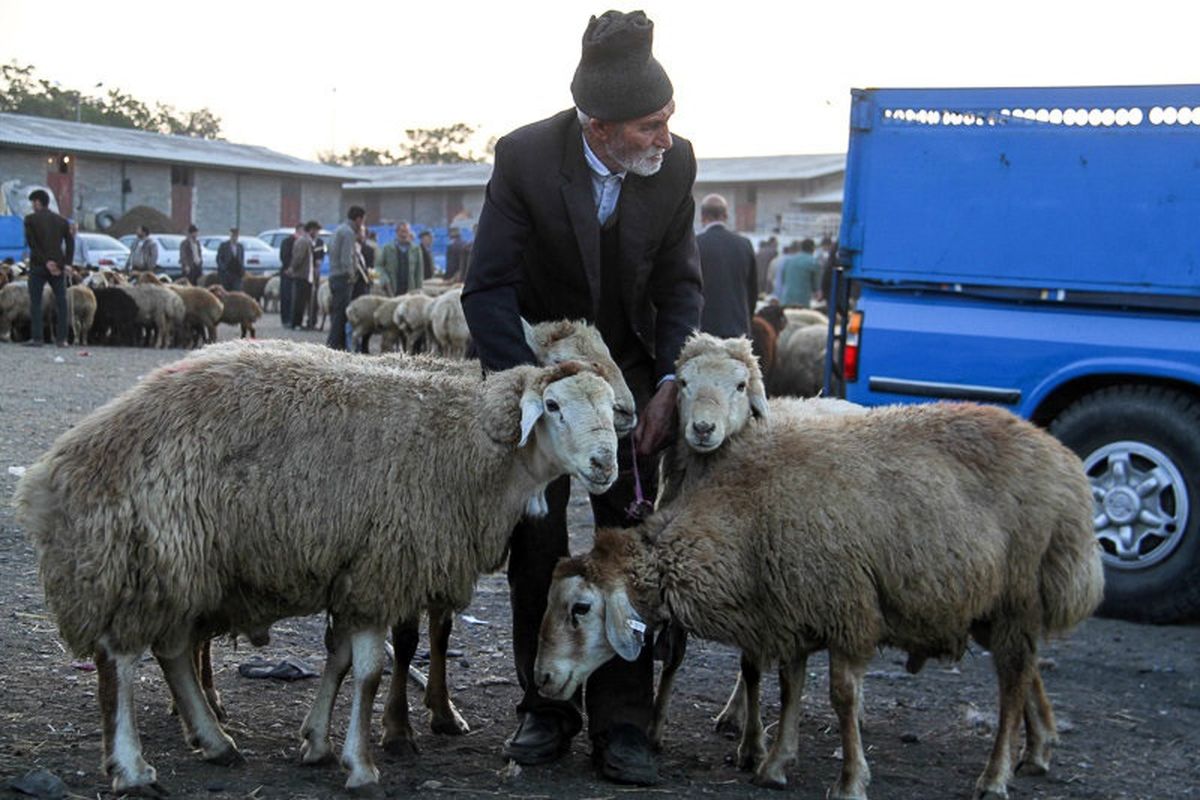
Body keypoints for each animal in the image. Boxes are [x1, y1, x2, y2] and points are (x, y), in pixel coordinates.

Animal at [14, 340, 619, 796]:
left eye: (612, 409)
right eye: (554, 407)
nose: (605, 464)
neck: (472, 441)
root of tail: (58, 469)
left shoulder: (356, 571)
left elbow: (343, 661)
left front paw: (318, 742)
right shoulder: (382, 566)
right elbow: (371, 671)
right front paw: (362, 765)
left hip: (182, 570)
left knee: (173, 651)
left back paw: (215, 743)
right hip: (143, 559)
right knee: (120, 659)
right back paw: (133, 767)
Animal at [540, 398, 1099, 796]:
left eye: (579, 609)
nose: (542, 678)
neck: (747, 512)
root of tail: (1065, 462)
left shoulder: (845, 607)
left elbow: (841, 696)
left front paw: (849, 781)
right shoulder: (794, 608)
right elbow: (790, 687)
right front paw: (775, 763)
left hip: (1018, 594)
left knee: (1012, 681)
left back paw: (996, 775)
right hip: (979, 599)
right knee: (1027, 670)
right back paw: (1039, 749)